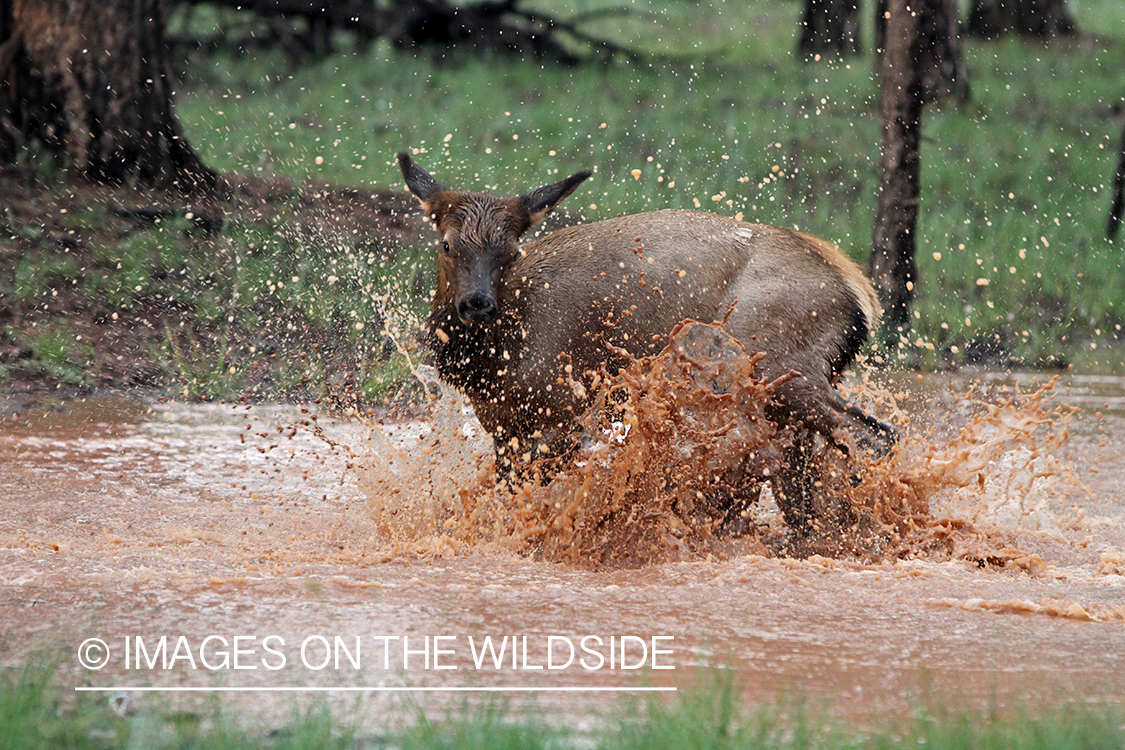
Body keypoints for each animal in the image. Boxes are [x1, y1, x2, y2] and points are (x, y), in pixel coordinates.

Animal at [398, 154, 895, 532]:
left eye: (511, 252)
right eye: (447, 245)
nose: (477, 304)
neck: (493, 363)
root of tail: (859, 293)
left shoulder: (560, 413)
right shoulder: (504, 427)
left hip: (779, 366)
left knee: (872, 436)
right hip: (782, 391)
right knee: (802, 472)